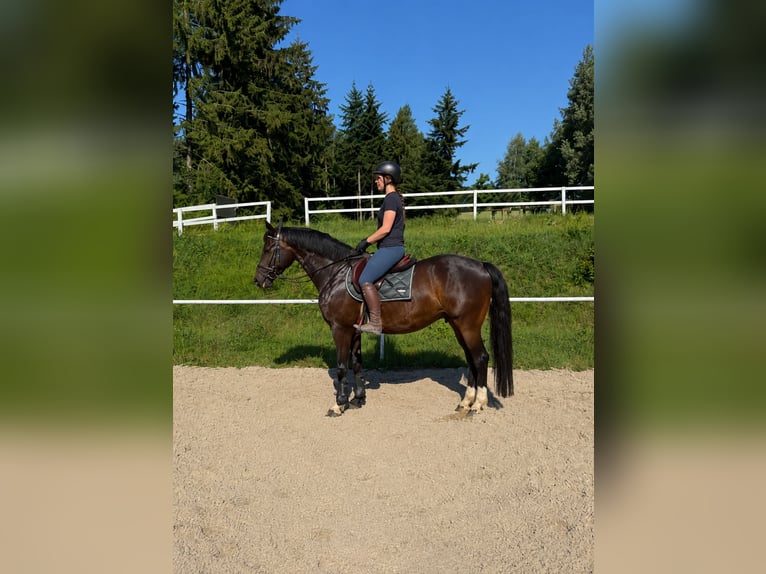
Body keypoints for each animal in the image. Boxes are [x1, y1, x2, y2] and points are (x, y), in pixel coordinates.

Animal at [254, 221, 513, 416]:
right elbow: (356, 363)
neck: (334, 272)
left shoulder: (340, 329)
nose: (258, 280)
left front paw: (338, 404)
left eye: (267, 248)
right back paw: (465, 402)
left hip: (467, 326)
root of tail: (480, 265)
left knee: (480, 358)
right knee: (471, 359)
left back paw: (478, 404)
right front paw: (357, 399)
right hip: (458, 325)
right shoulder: (354, 329)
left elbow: (341, 367)